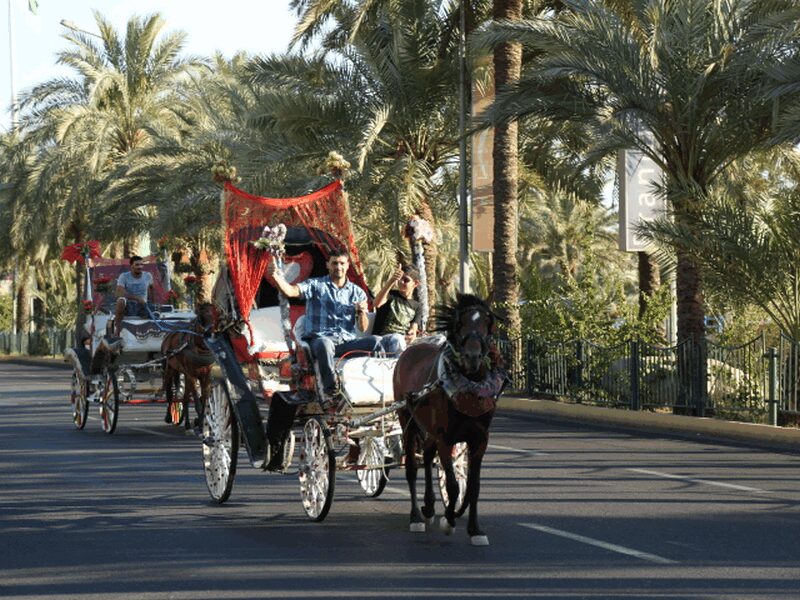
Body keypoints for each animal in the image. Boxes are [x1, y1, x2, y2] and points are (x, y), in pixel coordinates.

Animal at [394, 292, 506, 548]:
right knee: (412, 469)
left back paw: (428, 507)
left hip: (428, 430)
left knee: (426, 456)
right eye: (460, 323)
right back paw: (417, 516)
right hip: (407, 421)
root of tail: (408, 351)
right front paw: (449, 520)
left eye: (487, 322)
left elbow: (473, 486)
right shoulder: (445, 439)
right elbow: (454, 486)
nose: (473, 357)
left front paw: (475, 529)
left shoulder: (479, 440)